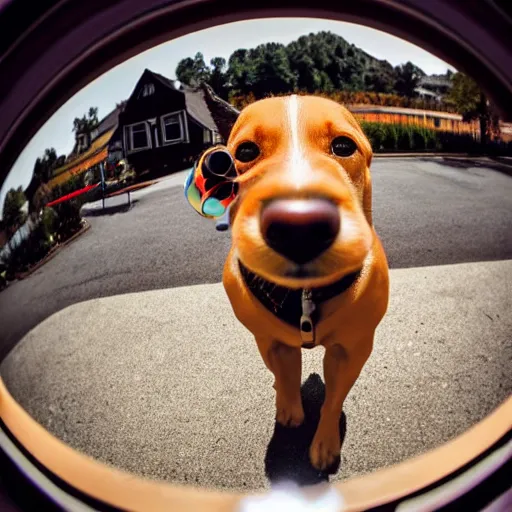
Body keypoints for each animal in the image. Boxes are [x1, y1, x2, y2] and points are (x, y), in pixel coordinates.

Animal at [184, 93, 388, 472]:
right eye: (245, 152)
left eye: (343, 146)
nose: (299, 227)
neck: (303, 295)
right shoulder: (269, 341)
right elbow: (285, 375)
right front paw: (290, 408)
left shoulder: (353, 349)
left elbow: (333, 399)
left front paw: (324, 443)